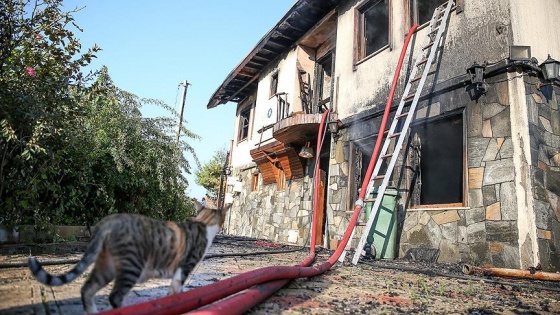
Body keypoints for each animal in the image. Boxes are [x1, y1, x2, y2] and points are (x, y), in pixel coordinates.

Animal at [27, 201, 230, 314]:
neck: (203, 222)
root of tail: (109, 221)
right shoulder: (185, 266)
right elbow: (177, 288)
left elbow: (173, 291)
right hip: (132, 265)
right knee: (114, 296)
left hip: (106, 266)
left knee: (87, 289)